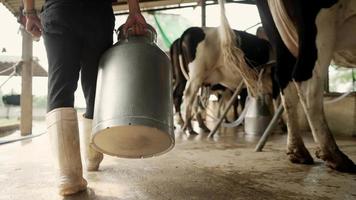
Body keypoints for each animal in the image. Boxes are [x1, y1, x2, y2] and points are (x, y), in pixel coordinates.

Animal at [245, 0, 356, 172]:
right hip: (319, 23)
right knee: (307, 81)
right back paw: (334, 156)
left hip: (275, 32)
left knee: (285, 80)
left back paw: (297, 151)